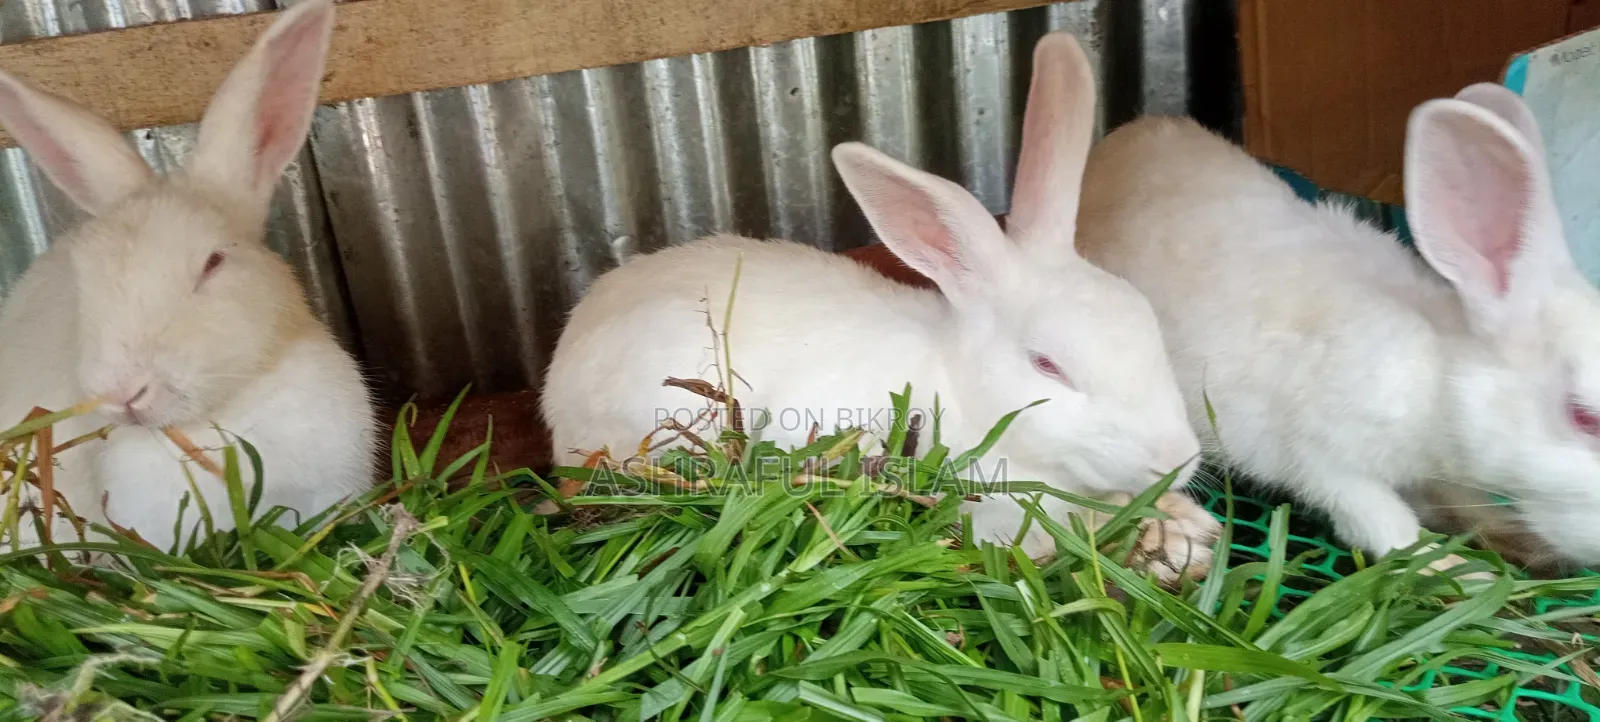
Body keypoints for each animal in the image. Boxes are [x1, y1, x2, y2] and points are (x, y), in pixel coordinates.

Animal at [542, 32, 1216, 581]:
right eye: (1047, 366)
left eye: (1151, 330)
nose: (1175, 460)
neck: (960, 389)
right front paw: (1174, 546)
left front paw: (1188, 526)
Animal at [1076, 82, 1600, 571]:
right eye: (1585, 419)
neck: (1437, 375)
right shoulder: (1329, 459)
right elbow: (1386, 525)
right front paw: (1460, 570)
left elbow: (1466, 506)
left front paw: (1520, 542)